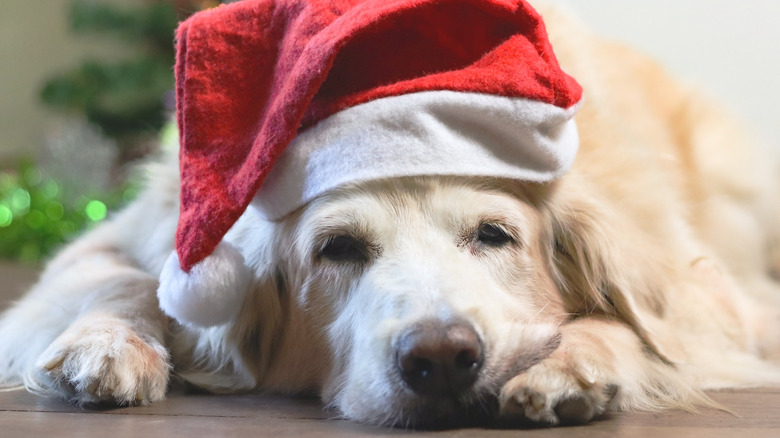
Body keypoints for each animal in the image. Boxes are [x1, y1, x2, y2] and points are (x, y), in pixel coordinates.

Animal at [1, 1, 780, 430]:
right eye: (337, 249)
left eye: (494, 236)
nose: (443, 360)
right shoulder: (136, 234)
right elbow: (119, 278)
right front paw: (104, 346)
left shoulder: (701, 293)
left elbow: (644, 323)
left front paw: (573, 365)